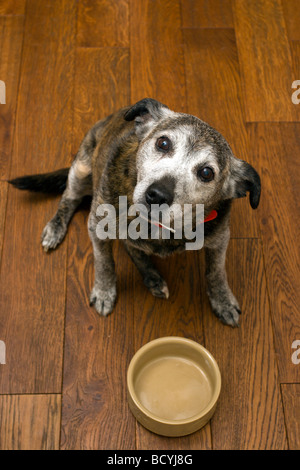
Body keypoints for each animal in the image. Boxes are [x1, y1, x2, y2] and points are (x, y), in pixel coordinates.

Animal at [9, 98, 260, 326]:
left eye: (207, 173)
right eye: (163, 143)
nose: (156, 195)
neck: (156, 225)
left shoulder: (219, 239)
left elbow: (216, 271)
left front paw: (223, 301)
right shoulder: (97, 227)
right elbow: (104, 262)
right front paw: (104, 291)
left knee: (130, 246)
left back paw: (152, 277)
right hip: (81, 169)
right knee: (69, 197)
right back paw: (55, 228)